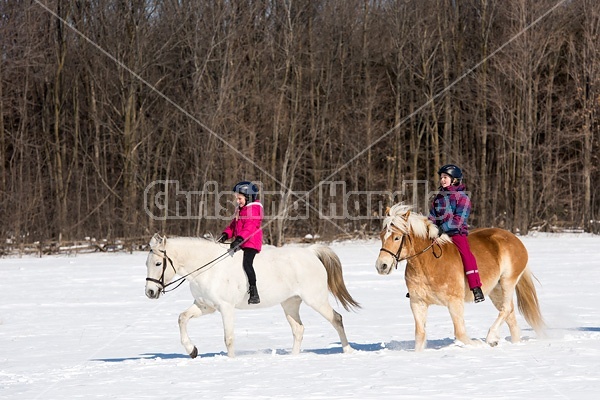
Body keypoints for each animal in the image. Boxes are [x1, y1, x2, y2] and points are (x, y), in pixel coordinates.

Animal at [144, 233, 360, 358]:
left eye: (158, 263)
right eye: (146, 263)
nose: (150, 292)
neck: (207, 267)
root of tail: (310, 252)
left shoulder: (226, 308)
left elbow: (229, 338)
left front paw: (231, 361)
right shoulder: (205, 306)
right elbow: (182, 318)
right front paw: (192, 350)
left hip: (316, 299)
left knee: (336, 319)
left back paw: (348, 350)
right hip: (290, 303)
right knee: (298, 329)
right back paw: (293, 357)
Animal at [378, 205, 548, 352]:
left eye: (397, 238)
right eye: (381, 236)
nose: (382, 265)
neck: (428, 262)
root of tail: (514, 238)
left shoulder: (455, 302)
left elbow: (460, 334)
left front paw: (478, 344)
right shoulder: (417, 303)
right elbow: (420, 336)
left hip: (508, 281)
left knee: (506, 309)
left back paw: (491, 337)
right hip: (496, 290)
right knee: (510, 315)